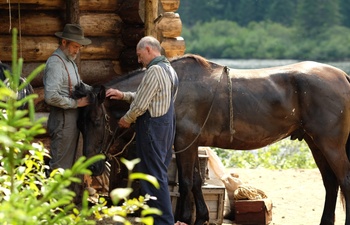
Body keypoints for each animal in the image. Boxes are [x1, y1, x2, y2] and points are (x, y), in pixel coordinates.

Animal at [78, 55, 350, 225]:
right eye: (82, 123)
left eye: (97, 121)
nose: (93, 166)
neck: (174, 87)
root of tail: (343, 76)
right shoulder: (194, 144)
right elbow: (197, 182)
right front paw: (201, 217)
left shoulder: (184, 142)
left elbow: (186, 182)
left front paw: (185, 217)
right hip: (316, 144)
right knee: (330, 184)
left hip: (330, 145)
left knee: (344, 181)